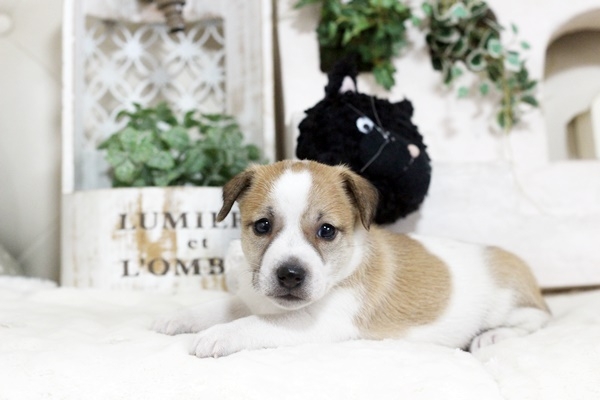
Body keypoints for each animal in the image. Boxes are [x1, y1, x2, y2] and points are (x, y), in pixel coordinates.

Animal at [153, 160, 550, 358]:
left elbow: (251, 324)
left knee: (537, 319)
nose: (290, 275)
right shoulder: (255, 298)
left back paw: (492, 337)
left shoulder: (310, 324)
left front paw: (216, 336)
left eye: (327, 231)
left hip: (508, 307)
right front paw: (180, 318)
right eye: (263, 226)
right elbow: (221, 307)